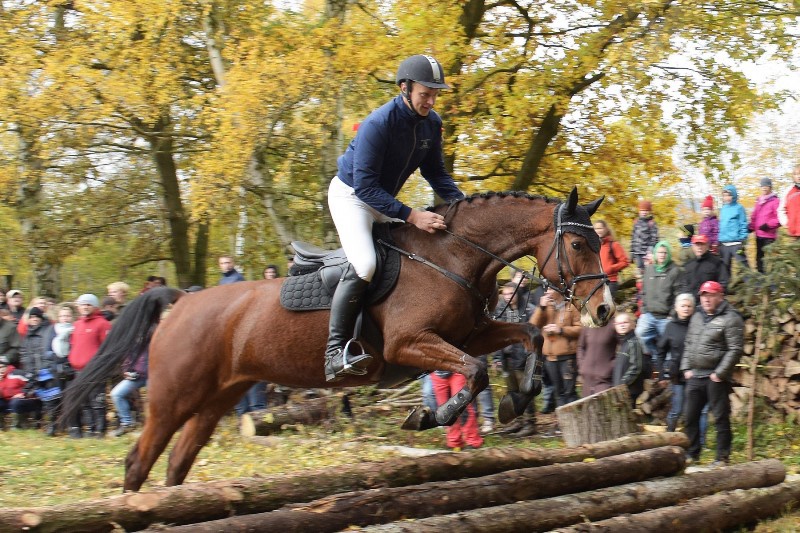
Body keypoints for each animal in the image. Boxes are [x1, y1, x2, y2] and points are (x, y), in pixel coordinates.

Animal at [60, 187, 614, 492]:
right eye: (578, 243)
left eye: (598, 242)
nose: (605, 310)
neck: (453, 257)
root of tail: (181, 301)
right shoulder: (408, 344)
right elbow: (475, 371)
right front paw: (427, 416)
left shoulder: (470, 333)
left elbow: (531, 334)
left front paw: (515, 402)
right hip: (174, 397)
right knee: (139, 461)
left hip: (216, 398)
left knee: (176, 463)